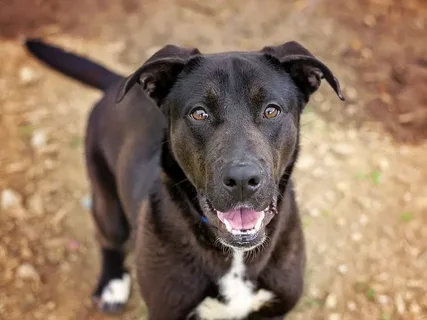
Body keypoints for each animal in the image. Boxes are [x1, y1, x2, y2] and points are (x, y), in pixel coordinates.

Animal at [25, 38, 344, 320]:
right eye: (199, 114)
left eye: (271, 110)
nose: (243, 179)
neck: (235, 257)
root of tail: (116, 81)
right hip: (106, 199)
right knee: (108, 239)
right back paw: (112, 284)